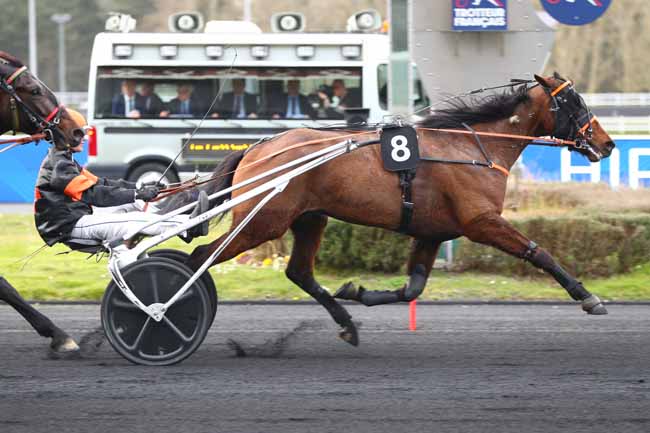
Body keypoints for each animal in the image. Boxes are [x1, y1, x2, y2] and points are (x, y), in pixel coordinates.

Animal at [165, 73, 612, 344]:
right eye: (573, 101)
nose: (606, 144)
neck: (472, 148)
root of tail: (257, 148)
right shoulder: (481, 222)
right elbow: (539, 252)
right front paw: (587, 295)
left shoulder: (433, 232)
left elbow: (412, 288)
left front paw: (357, 292)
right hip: (263, 222)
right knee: (200, 258)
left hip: (309, 218)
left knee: (298, 272)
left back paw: (346, 324)